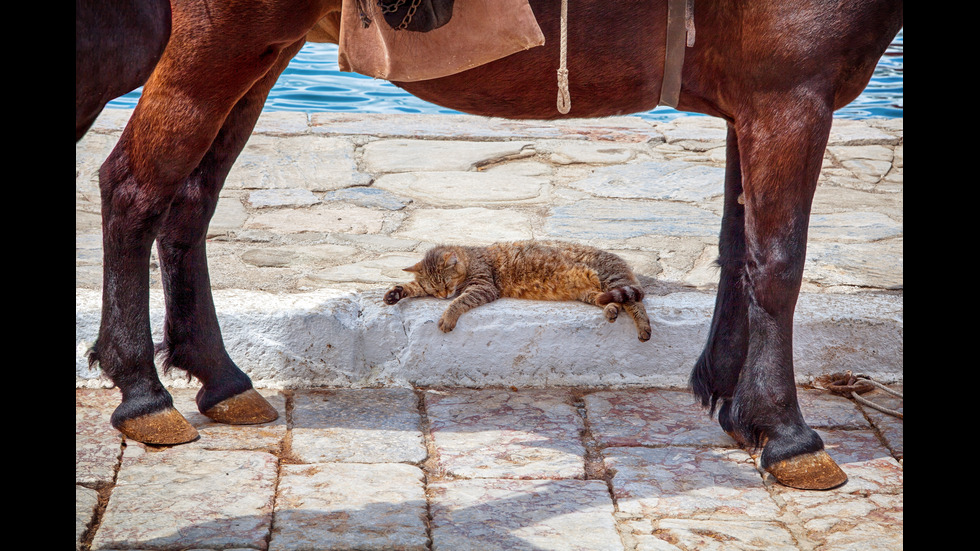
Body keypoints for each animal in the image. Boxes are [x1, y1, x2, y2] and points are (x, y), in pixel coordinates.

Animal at [382, 242, 652, 340]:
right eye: (435, 288)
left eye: (447, 285)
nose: (442, 295)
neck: (470, 256)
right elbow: (412, 286)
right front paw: (395, 293)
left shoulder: (483, 286)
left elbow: (459, 302)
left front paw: (447, 315)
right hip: (593, 292)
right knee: (614, 302)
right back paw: (611, 310)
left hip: (611, 279)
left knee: (636, 303)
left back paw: (643, 328)